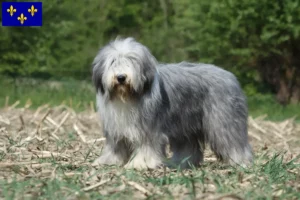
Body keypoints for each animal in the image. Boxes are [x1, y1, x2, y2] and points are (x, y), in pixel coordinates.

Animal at [92, 37, 253, 169]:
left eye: (132, 61)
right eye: (113, 61)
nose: (121, 77)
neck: (127, 97)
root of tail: (230, 76)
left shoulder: (149, 128)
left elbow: (147, 145)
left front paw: (141, 163)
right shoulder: (115, 129)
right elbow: (116, 147)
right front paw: (108, 161)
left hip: (223, 121)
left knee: (233, 141)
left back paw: (241, 161)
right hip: (185, 124)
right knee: (189, 146)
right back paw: (180, 163)